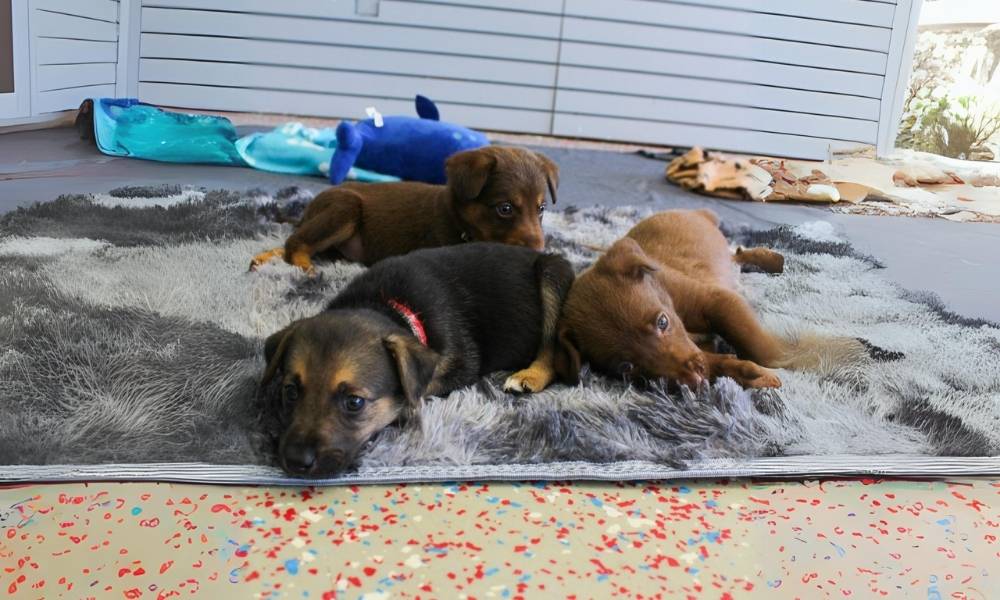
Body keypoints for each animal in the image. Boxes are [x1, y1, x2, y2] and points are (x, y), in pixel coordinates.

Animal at [247, 146, 560, 274]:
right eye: (505, 209)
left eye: (542, 208)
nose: (539, 251)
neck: (462, 226)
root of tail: (310, 207)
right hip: (345, 208)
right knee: (296, 242)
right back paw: (305, 268)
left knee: (289, 245)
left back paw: (262, 260)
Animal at [260, 241, 572, 476]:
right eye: (290, 392)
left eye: (354, 403)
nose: (296, 461)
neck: (384, 303)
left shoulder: (459, 366)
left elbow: (417, 390)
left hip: (553, 275)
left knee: (551, 348)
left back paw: (529, 375)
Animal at [556, 210, 860, 390]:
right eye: (626, 368)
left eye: (662, 322)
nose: (691, 382)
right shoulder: (700, 350)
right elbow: (714, 359)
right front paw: (744, 373)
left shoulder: (718, 302)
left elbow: (766, 351)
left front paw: (819, 357)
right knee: (737, 254)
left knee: (739, 251)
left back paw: (772, 259)